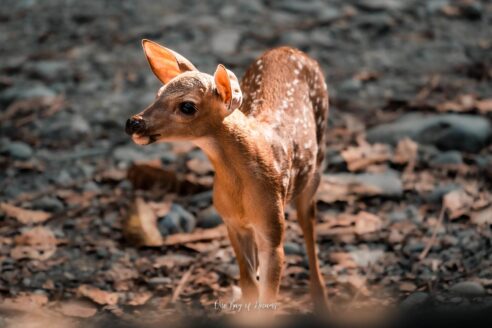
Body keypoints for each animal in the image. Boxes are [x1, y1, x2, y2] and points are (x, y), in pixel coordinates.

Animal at [124, 39, 330, 312]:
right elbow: (249, 286)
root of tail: (288, 49)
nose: (133, 122)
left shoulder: (272, 228)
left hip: (316, 164)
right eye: (158, 93)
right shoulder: (231, 222)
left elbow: (268, 296)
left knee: (309, 223)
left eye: (187, 106)